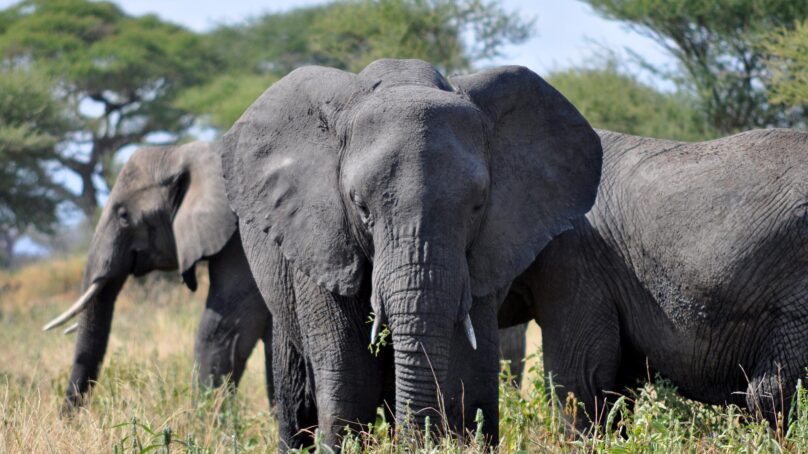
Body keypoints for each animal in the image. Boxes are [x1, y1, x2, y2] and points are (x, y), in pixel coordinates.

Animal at [217, 58, 602, 448]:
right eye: (360, 206)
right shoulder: (322, 239)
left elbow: (471, 374)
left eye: (478, 205)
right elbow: (351, 380)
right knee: (297, 392)